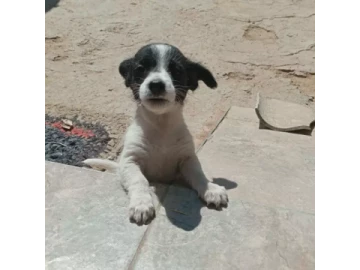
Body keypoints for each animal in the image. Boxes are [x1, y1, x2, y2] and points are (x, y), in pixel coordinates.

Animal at [84, 43, 228, 226]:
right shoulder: (130, 160)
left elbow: (198, 173)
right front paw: (141, 204)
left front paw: (210, 188)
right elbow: (140, 180)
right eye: (140, 68)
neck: (161, 126)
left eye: (177, 71)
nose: (157, 85)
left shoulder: (187, 158)